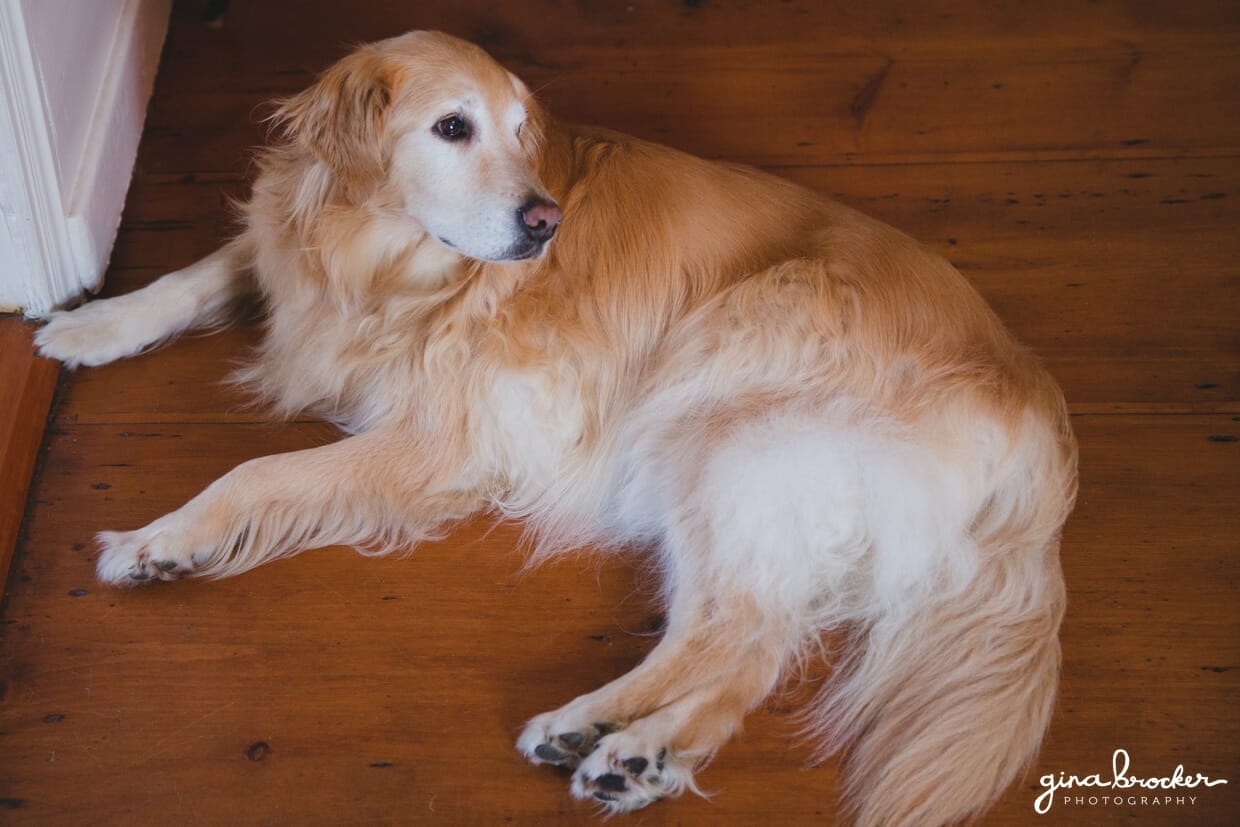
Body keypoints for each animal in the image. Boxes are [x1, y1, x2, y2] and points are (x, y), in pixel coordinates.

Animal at [36, 29, 1076, 823]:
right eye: (452, 127)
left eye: (520, 133)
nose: (545, 221)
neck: (377, 262)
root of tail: (1039, 417)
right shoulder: (287, 260)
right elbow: (199, 272)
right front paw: (91, 323)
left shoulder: (437, 438)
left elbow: (255, 473)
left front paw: (159, 539)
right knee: (754, 641)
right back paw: (638, 754)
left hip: (716, 412)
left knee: (728, 627)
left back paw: (596, 727)